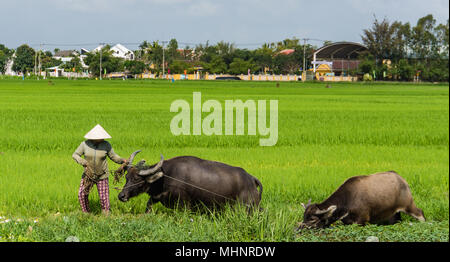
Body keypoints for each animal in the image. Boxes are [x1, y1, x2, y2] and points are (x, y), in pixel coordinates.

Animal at [118, 149, 262, 213]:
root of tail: (251, 179)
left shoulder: (184, 204)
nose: (121, 196)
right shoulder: (155, 198)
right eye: (126, 177)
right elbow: (148, 207)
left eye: (137, 179)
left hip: (247, 207)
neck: (165, 177)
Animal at [298, 170, 426, 229]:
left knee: (420, 213)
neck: (347, 200)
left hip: (409, 205)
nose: (298, 228)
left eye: (313, 219)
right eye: (304, 217)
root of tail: (402, 179)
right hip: (394, 213)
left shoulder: (362, 221)